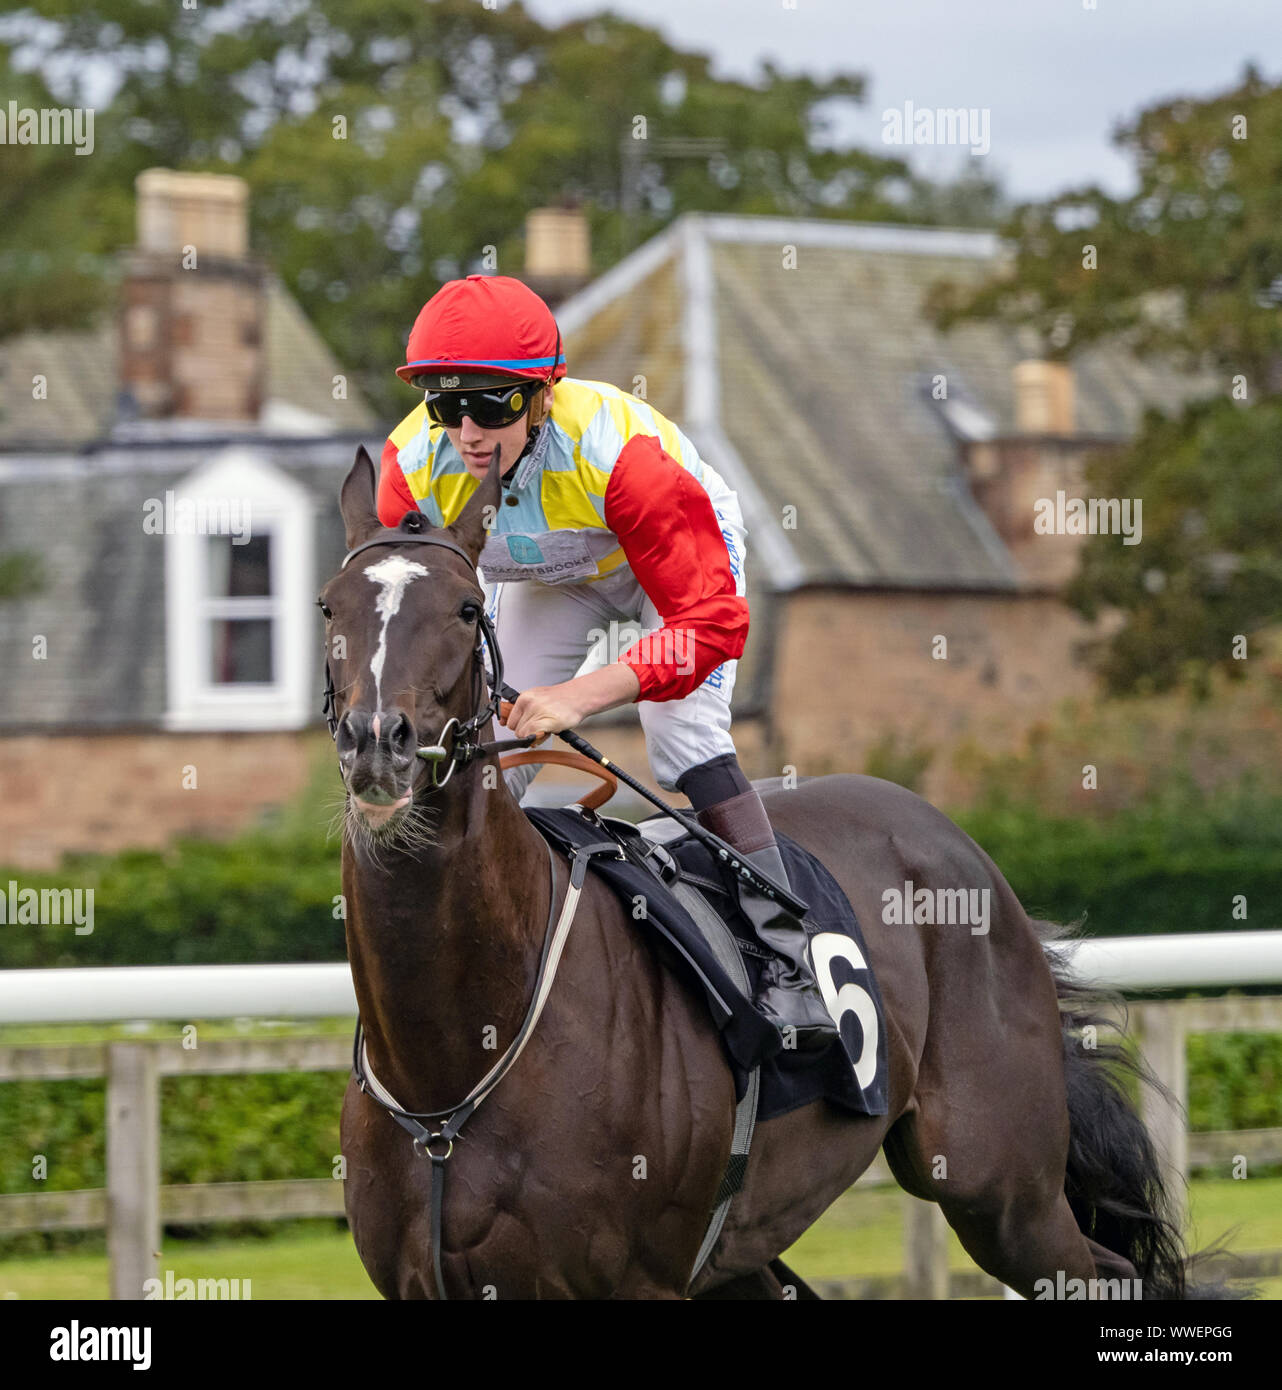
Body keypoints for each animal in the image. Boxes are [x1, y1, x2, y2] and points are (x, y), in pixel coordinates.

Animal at [329, 447, 1206, 1301]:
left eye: (466, 610)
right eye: (329, 608)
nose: (378, 742)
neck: (454, 1064)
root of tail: (965, 852)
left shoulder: (643, 1282)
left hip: (1000, 1186)